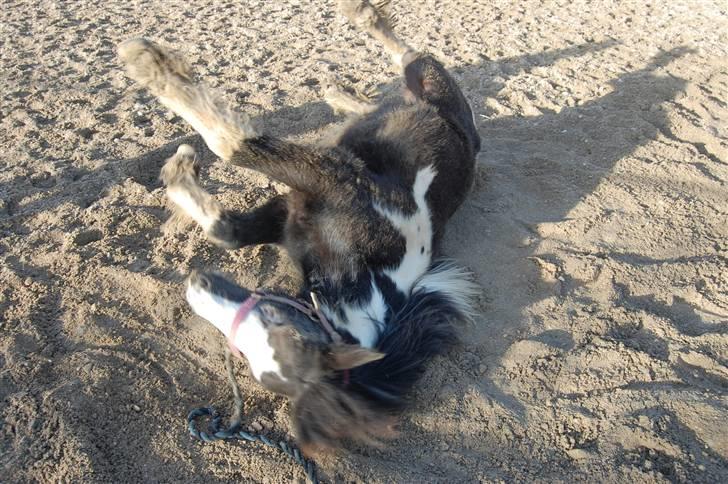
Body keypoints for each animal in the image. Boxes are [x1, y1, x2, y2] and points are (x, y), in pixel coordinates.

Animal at [119, 0, 480, 452]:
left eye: (275, 323)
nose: (197, 287)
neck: (362, 275)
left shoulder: (330, 175)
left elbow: (233, 144)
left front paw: (150, 65)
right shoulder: (290, 213)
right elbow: (228, 231)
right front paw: (179, 168)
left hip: (429, 78)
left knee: (410, 53)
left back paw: (361, 17)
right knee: (389, 81)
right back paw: (340, 93)